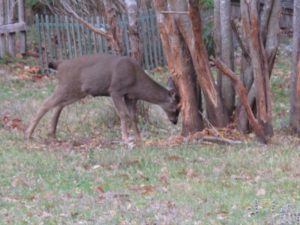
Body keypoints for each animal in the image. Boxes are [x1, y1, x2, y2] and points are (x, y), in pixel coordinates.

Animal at [24, 53, 179, 143]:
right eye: (176, 108)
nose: (175, 121)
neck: (136, 82)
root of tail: (60, 65)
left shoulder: (130, 96)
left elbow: (133, 116)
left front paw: (139, 137)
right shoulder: (115, 90)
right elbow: (123, 114)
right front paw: (125, 138)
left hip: (76, 91)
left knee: (57, 106)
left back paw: (52, 134)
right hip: (67, 85)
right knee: (46, 103)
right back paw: (28, 134)